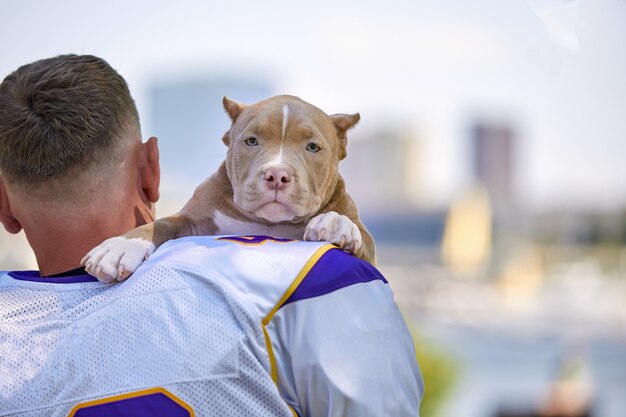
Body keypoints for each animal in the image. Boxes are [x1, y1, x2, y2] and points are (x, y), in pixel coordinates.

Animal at [83, 94, 376, 282]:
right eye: (252, 141)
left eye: (313, 147)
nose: (277, 174)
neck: (269, 223)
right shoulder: (194, 220)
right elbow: (162, 223)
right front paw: (121, 246)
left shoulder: (368, 252)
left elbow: (359, 233)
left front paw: (335, 223)